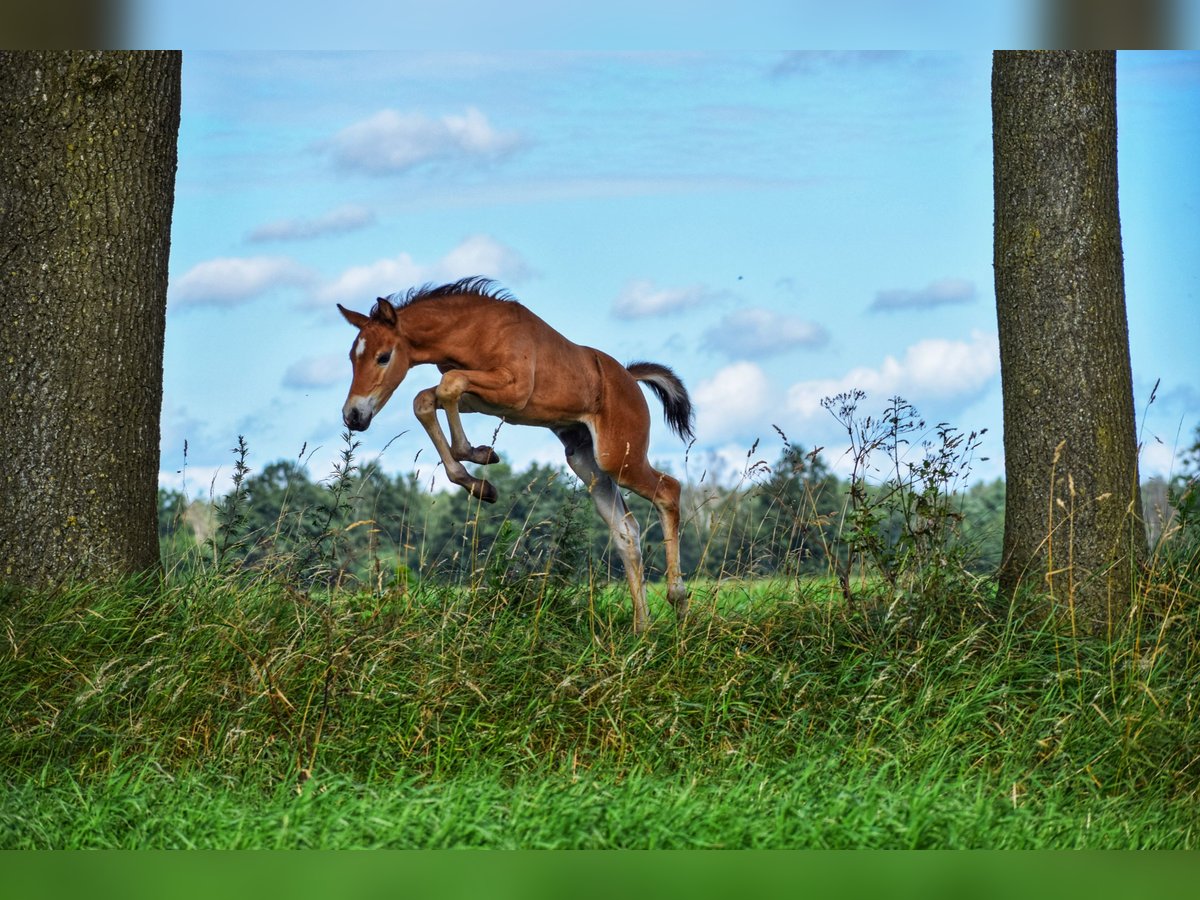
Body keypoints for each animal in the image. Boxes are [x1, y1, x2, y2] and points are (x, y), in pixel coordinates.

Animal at [338, 274, 696, 633]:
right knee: (627, 532)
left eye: (384, 356)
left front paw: (477, 455)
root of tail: (630, 378)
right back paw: (642, 628)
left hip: (618, 457)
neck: (477, 331)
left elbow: (449, 384)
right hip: (587, 462)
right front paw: (479, 481)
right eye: (352, 358)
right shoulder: (481, 398)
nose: (353, 416)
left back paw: (678, 601)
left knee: (668, 491)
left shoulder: (513, 390)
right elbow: (427, 398)